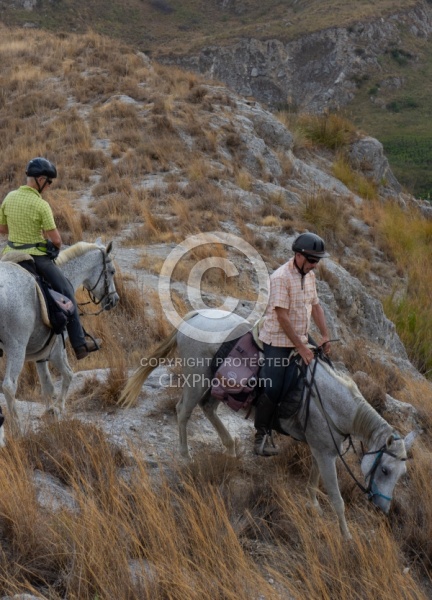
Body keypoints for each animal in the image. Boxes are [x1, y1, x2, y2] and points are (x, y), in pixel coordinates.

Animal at [0, 239, 118, 440]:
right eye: (111, 271)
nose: (114, 300)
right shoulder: (56, 349)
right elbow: (68, 374)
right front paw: (58, 408)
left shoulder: (41, 352)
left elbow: (46, 384)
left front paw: (50, 409)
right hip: (17, 348)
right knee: (9, 386)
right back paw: (18, 430)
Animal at [119, 310, 416, 540]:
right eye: (386, 470)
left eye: (402, 474)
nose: (382, 509)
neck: (332, 403)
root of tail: (195, 315)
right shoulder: (324, 453)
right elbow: (336, 498)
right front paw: (346, 537)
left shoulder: (320, 450)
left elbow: (313, 483)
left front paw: (313, 507)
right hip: (197, 380)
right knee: (183, 411)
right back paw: (185, 455)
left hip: (216, 386)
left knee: (207, 409)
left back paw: (230, 447)